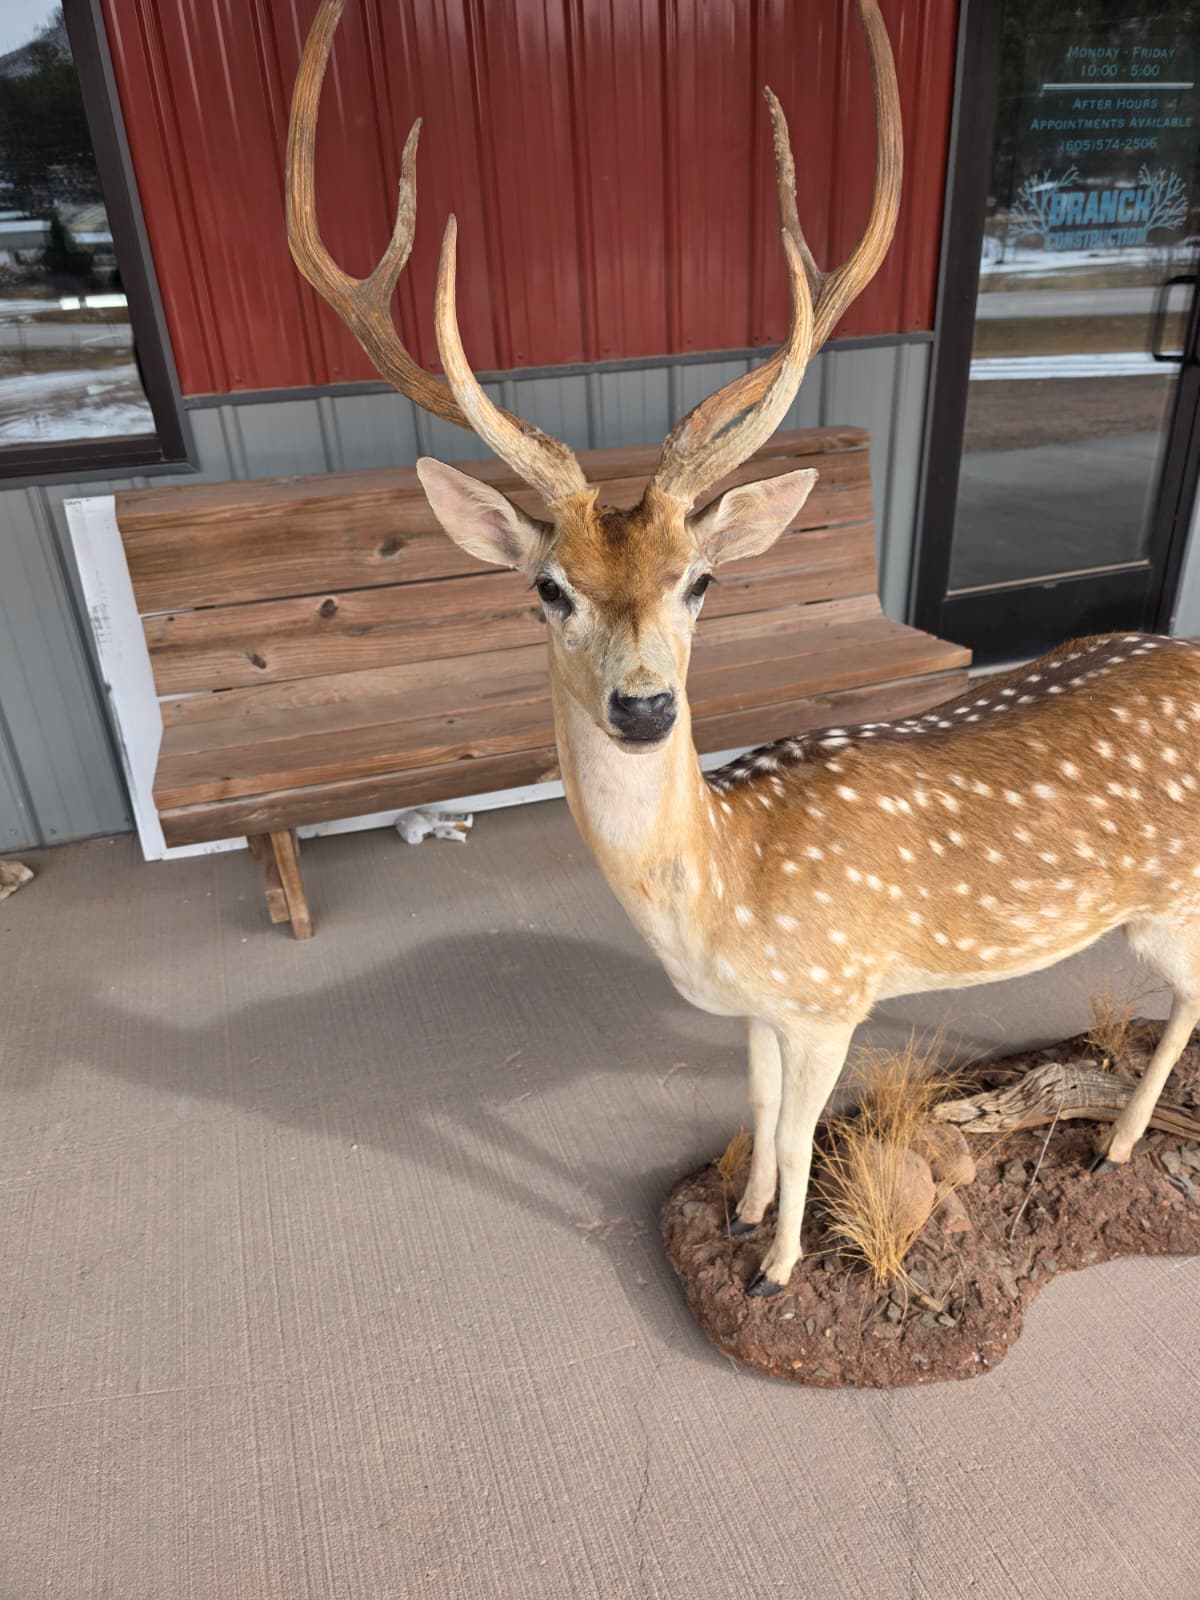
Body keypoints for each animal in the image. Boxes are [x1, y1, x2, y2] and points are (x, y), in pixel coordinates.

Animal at [288, 0, 1200, 1295]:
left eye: (700, 579)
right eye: (548, 588)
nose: (642, 706)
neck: (724, 888)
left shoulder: (833, 990)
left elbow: (808, 1123)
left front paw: (779, 1265)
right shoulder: (768, 1009)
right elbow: (763, 1112)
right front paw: (739, 1218)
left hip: (1173, 903)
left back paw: (1119, 1142)